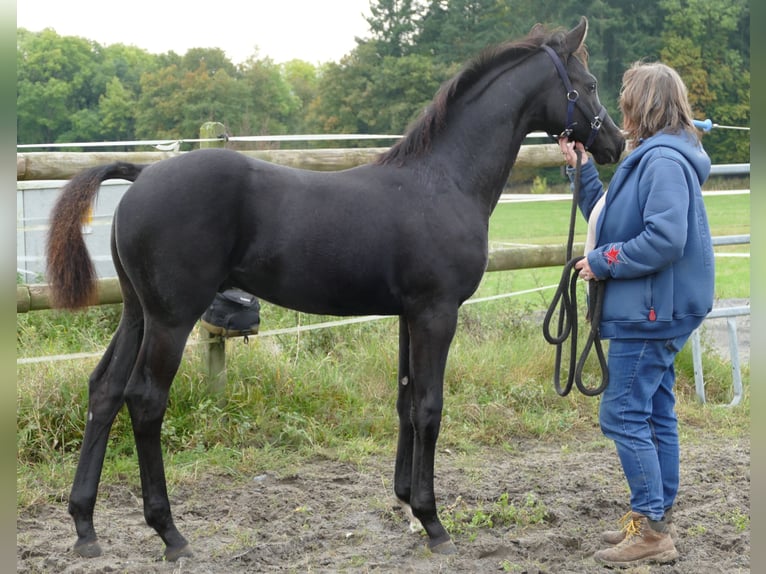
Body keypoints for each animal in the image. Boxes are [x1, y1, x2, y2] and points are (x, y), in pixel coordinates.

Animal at [46, 15, 624, 560]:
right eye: (590, 83)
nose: (615, 142)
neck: (444, 181)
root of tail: (142, 175)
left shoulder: (408, 315)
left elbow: (406, 400)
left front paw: (406, 501)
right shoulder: (436, 313)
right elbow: (430, 407)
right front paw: (433, 522)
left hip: (138, 313)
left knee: (104, 390)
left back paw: (84, 527)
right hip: (171, 318)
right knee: (145, 401)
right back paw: (170, 534)